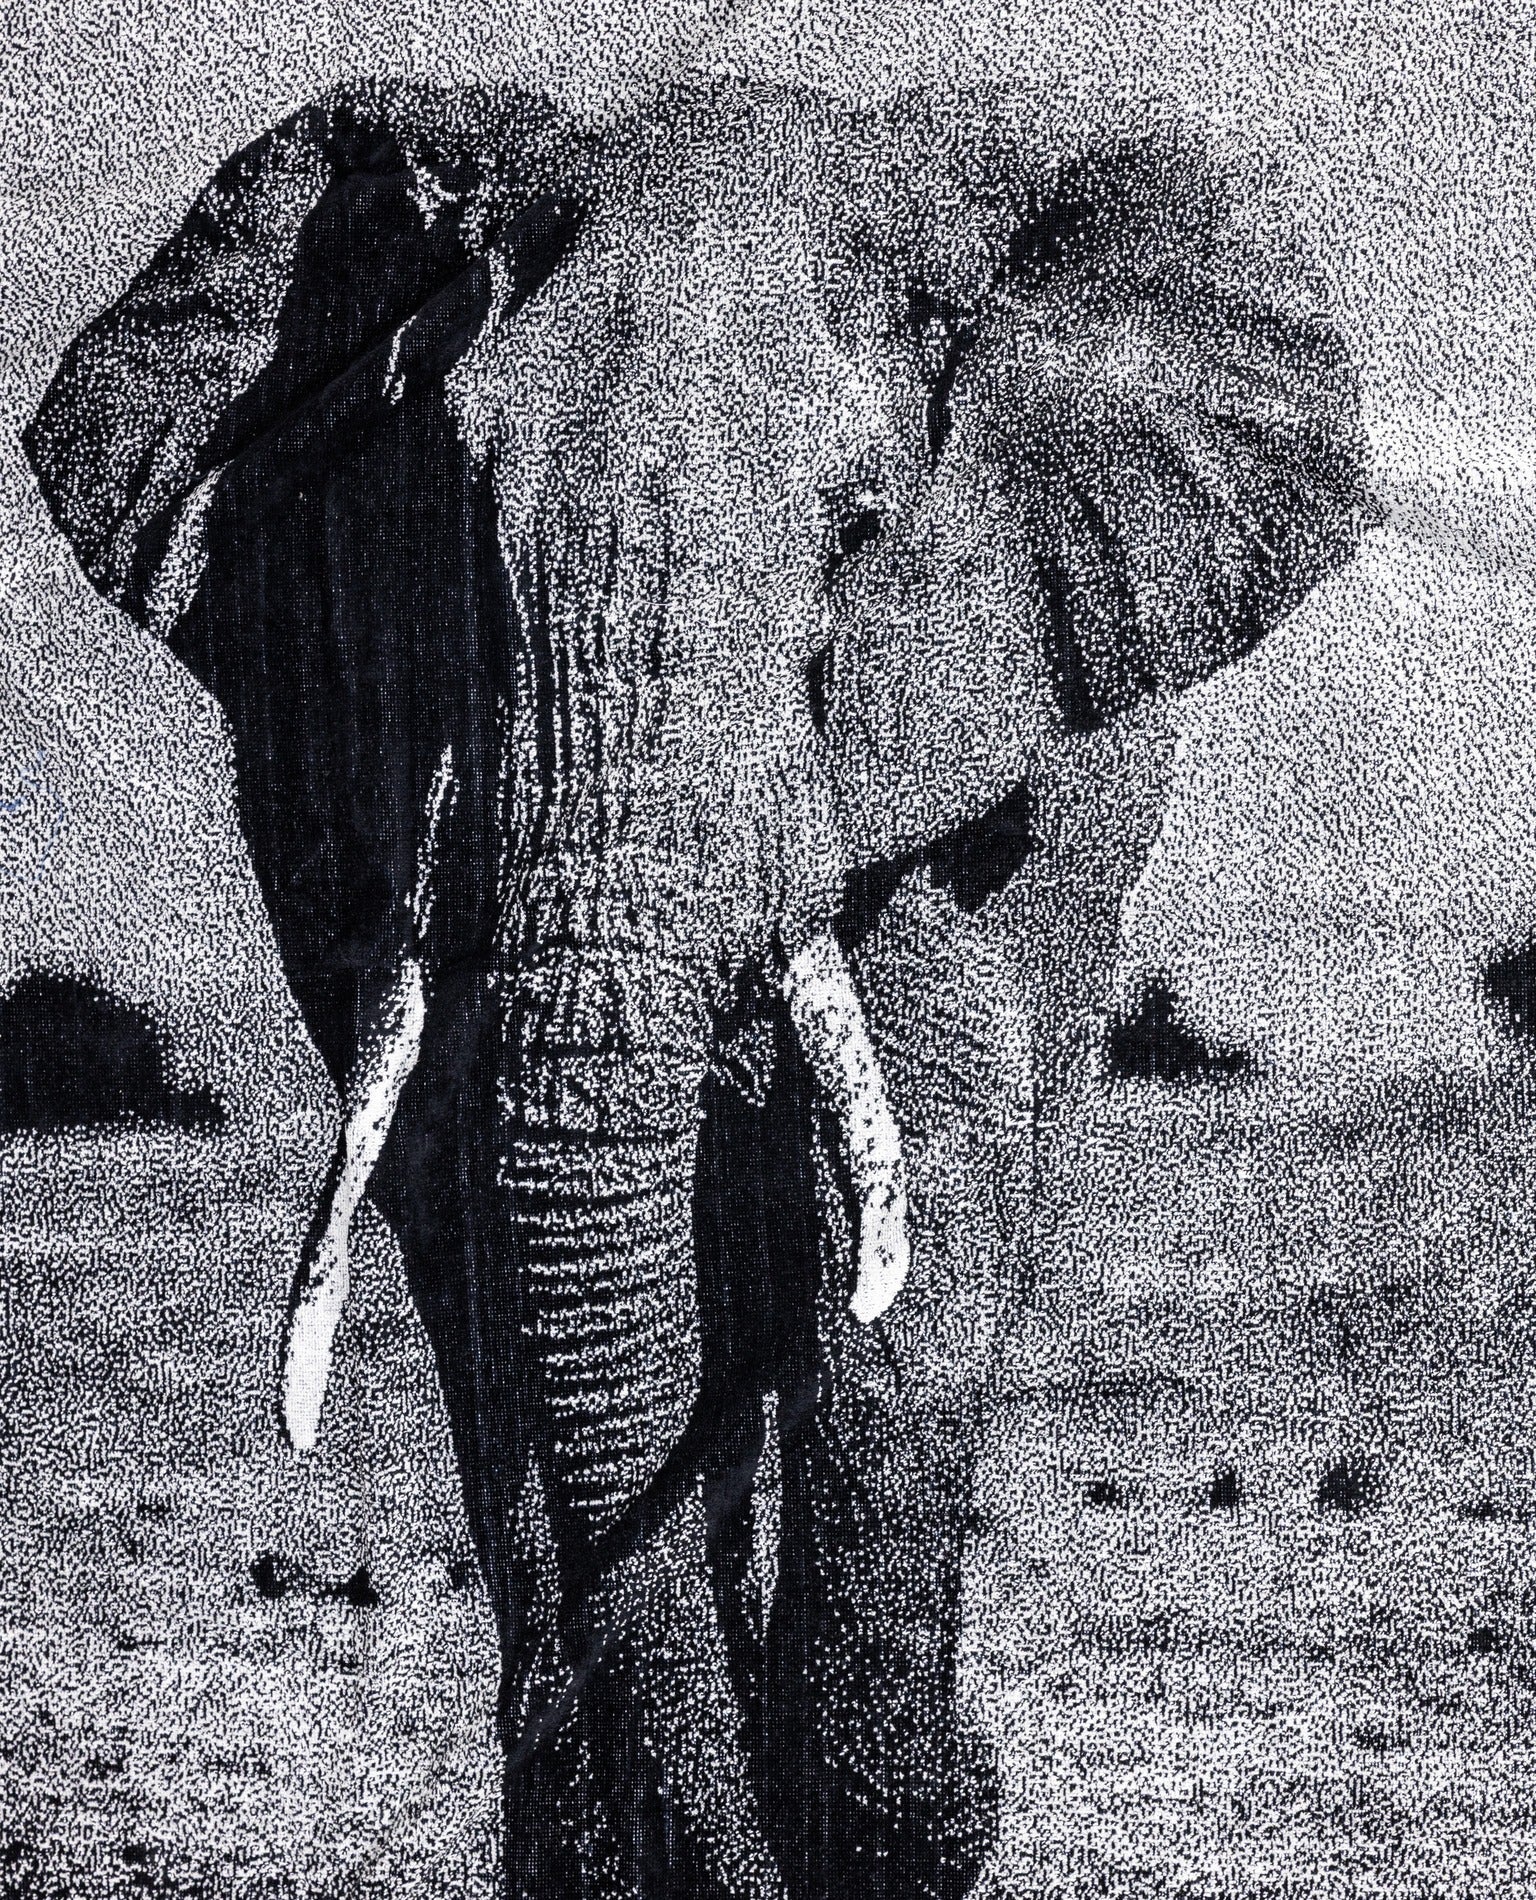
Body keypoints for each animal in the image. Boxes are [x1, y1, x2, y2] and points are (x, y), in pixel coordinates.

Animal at [23, 76, 1372, 1900]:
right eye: (449, 537)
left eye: (862, 540)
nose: (977, 1790)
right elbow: (487, 1209)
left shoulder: (956, 746)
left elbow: (919, 1184)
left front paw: (899, 1827)